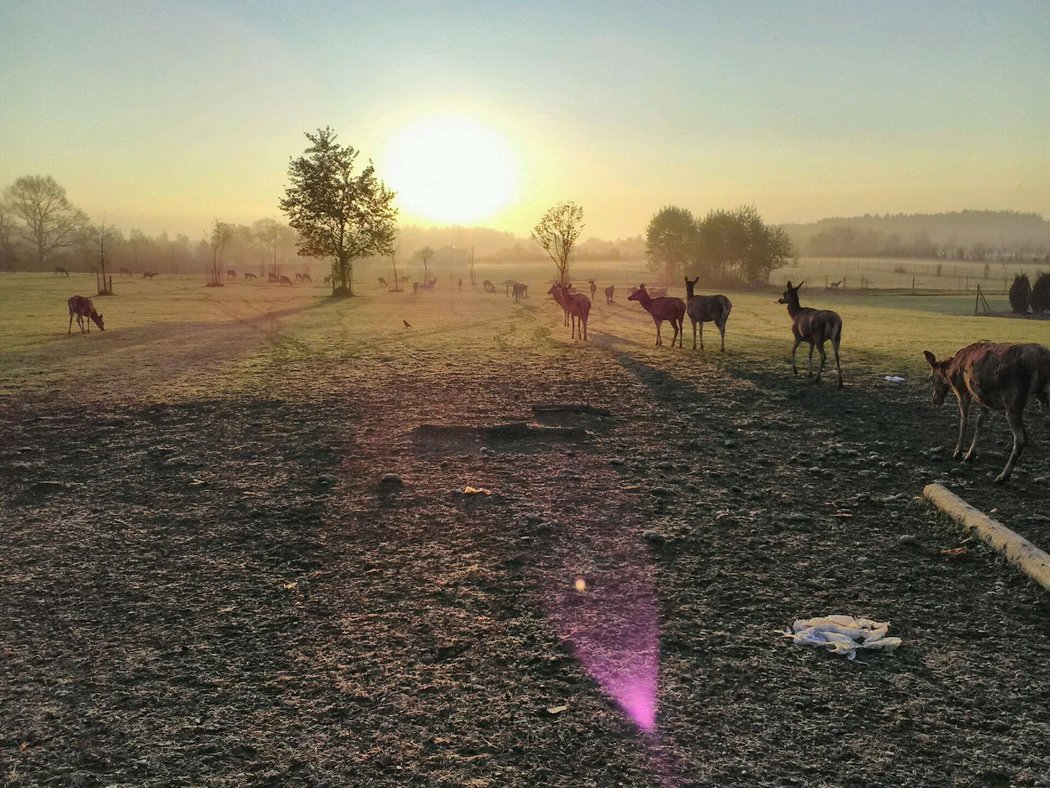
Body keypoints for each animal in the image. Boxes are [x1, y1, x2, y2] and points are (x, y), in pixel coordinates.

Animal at [923, 342, 1050, 485]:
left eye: (930, 378)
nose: (934, 400)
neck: (949, 371)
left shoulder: (961, 389)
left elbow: (964, 420)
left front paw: (958, 452)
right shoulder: (983, 397)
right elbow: (980, 421)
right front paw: (970, 454)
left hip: (1013, 398)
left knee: (1020, 438)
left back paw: (1003, 476)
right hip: (1044, 397)